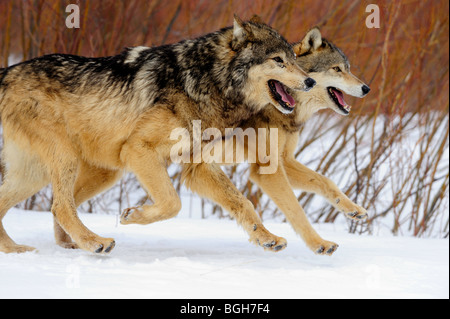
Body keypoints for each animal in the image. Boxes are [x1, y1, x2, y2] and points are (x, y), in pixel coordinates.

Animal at [0, 15, 314, 255]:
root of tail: (8, 72)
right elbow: (172, 203)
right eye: (278, 60)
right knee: (61, 206)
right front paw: (134, 216)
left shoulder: (198, 166)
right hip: (68, 160)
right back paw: (95, 242)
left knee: (43, 206)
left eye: (294, 59)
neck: (206, 81)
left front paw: (266, 237)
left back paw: (17, 249)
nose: (310, 81)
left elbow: (243, 203)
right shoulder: (139, 149)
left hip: (68, 173)